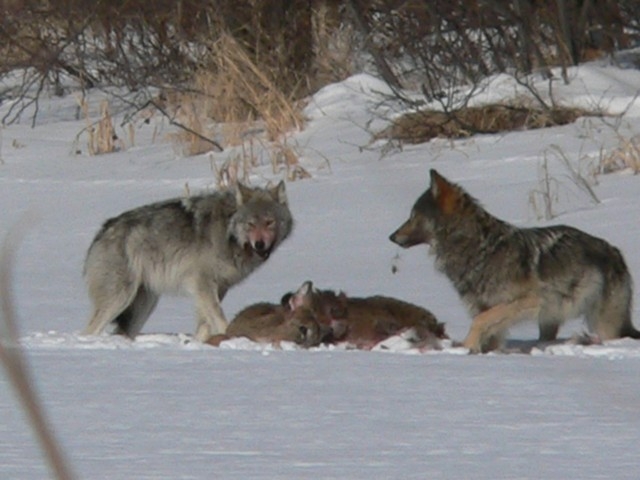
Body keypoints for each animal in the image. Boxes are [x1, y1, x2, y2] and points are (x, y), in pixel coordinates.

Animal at [83, 181, 293, 342]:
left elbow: (204, 325)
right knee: (91, 329)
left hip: (143, 305)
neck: (229, 235)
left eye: (269, 222)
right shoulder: (201, 283)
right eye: (250, 224)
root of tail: (102, 230)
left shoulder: (216, 288)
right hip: (120, 298)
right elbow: (220, 320)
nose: (260, 244)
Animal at [390, 169, 639, 353]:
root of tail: (615, 252)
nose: (391, 236)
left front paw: (465, 347)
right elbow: (488, 332)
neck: (480, 249)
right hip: (550, 319)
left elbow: (480, 321)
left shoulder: (526, 302)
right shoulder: (487, 308)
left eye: (413, 216)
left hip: (601, 323)